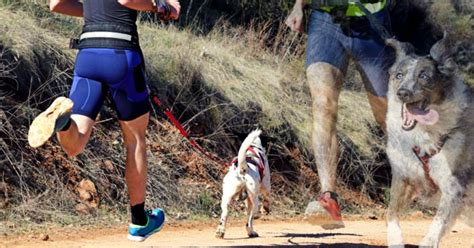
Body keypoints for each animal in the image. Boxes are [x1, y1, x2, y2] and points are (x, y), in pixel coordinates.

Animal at [386, 33, 472, 248]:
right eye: (399, 75)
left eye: (423, 76)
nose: (403, 93)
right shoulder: (404, 176)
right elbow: (391, 212)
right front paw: (395, 240)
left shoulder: (453, 186)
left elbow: (437, 223)